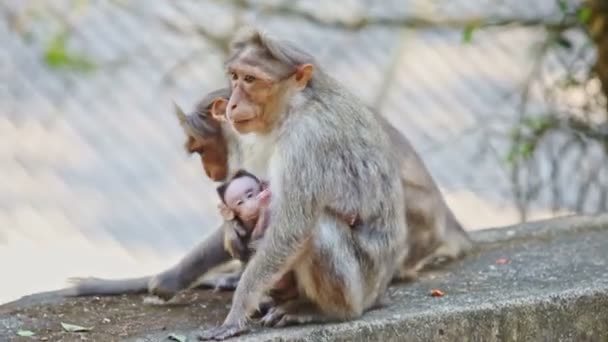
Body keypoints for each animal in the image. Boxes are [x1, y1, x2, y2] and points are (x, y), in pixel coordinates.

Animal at [200, 28, 408, 340]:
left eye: (250, 79)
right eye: (235, 76)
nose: (232, 103)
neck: (294, 107)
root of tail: (380, 293)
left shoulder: (307, 140)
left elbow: (291, 229)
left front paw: (236, 313)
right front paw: (231, 229)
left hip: (362, 289)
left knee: (319, 229)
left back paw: (323, 311)